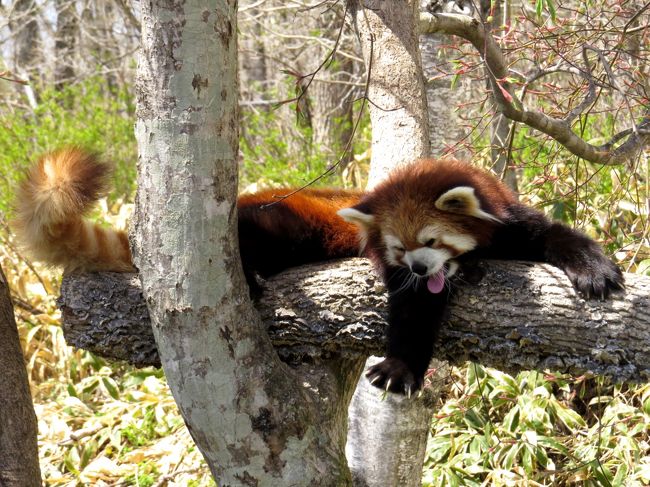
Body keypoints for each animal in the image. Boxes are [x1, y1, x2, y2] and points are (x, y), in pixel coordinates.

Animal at [13, 150, 624, 396]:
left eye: (430, 242)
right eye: (400, 250)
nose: (420, 267)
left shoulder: (508, 217)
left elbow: (554, 235)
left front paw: (597, 271)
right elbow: (411, 310)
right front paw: (401, 366)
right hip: (276, 222)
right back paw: (252, 274)